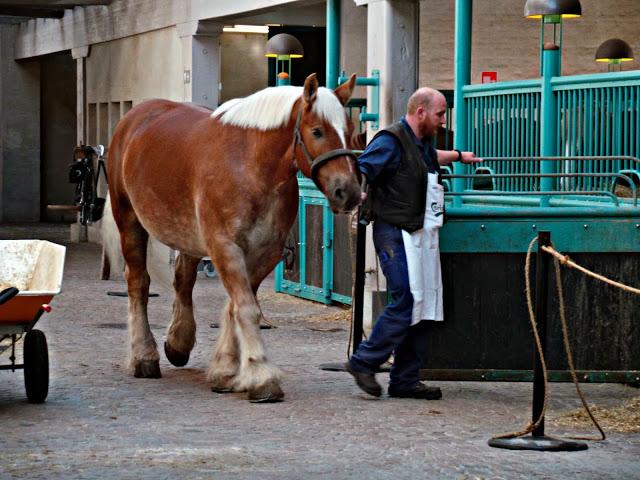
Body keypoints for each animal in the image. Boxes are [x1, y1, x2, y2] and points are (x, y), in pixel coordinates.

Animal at [107, 74, 362, 402]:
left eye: (350, 131)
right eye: (317, 131)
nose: (349, 192)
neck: (249, 166)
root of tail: (135, 118)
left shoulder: (264, 253)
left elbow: (235, 306)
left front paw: (226, 370)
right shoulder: (225, 247)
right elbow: (246, 308)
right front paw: (261, 375)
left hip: (188, 236)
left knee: (183, 280)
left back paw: (178, 343)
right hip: (129, 220)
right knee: (138, 283)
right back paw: (144, 356)